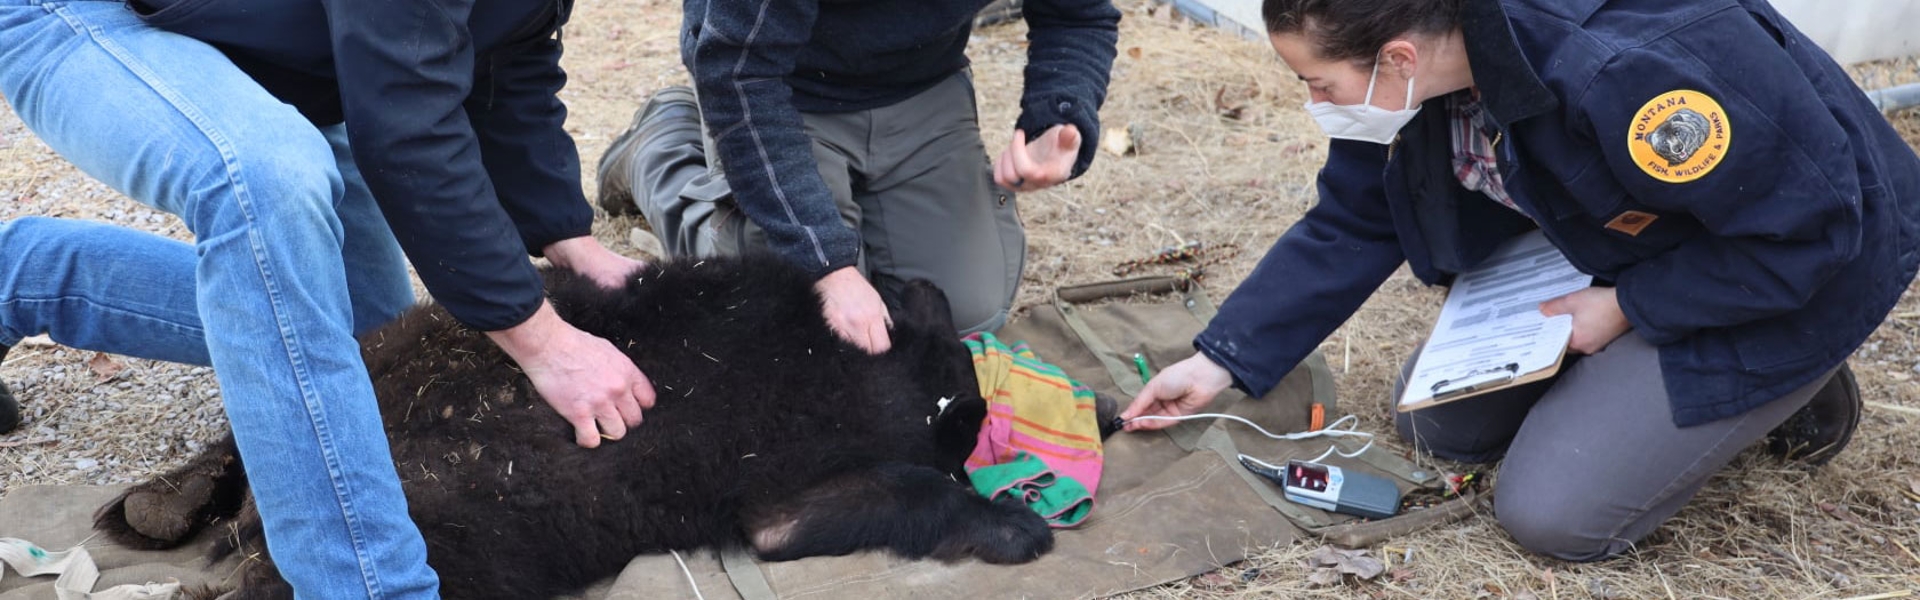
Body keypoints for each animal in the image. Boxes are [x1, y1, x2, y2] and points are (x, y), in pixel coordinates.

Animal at [90, 255, 1052, 600]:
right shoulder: (798, 481)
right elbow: (900, 489)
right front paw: (1014, 523)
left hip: (392, 351)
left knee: (276, 409)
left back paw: (158, 506)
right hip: (457, 533)